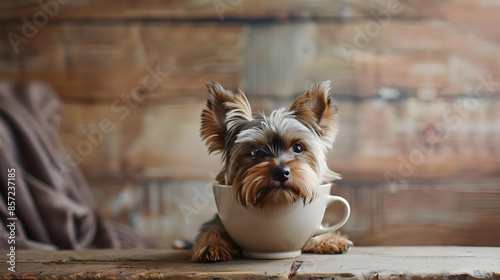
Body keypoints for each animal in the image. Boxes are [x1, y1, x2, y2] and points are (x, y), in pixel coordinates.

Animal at [191, 81, 352, 262]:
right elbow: (212, 229)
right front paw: (211, 246)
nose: (281, 172)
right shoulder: (218, 221)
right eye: (254, 152)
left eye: (298, 147)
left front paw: (328, 240)